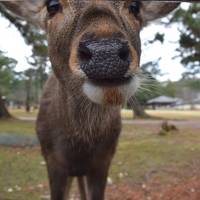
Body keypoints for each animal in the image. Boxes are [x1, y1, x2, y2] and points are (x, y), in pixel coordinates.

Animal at [0, 1, 180, 200]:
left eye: (135, 6)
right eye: (52, 6)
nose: (106, 53)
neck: (81, 146)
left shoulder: (104, 159)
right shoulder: (52, 159)